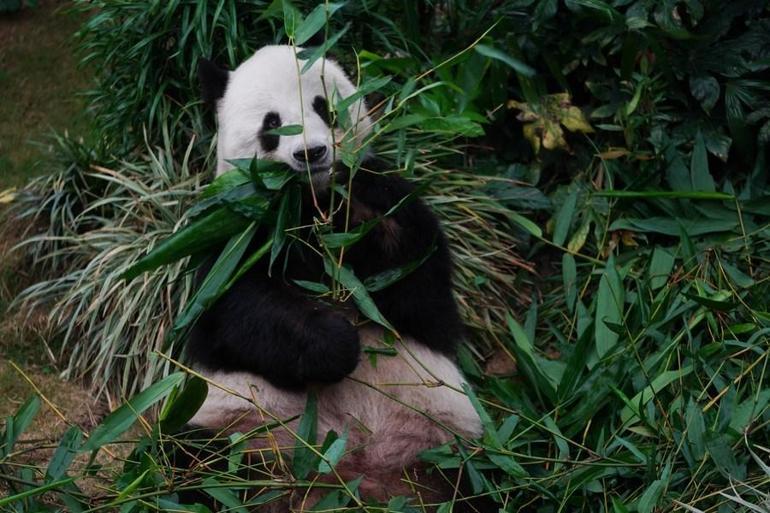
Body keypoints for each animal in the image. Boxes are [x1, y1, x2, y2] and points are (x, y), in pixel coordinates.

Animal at [188, 46, 480, 510]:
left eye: (324, 107)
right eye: (272, 124)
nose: (312, 153)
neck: (310, 203)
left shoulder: (392, 204)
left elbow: (425, 300)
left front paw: (361, 216)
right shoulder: (231, 234)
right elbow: (236, 313)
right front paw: (337, 344)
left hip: (449, 446)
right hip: (234, 431)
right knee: (194, 470)